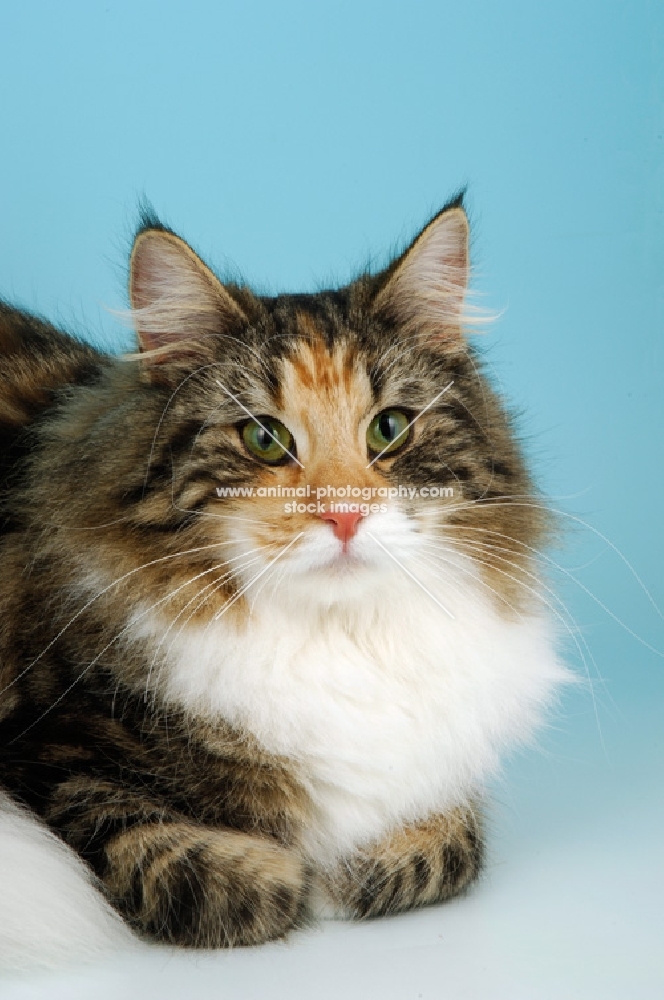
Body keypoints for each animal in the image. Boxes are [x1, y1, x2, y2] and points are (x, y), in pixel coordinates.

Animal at [1, 191, 572, 964]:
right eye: (264, 439)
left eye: (390, 429)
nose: (343, 515)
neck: (338, 638)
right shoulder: (46, 755)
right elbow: (214, 877)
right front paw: (294, 876)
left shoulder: (445, 789)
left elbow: (450, 845)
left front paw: (361, 869)